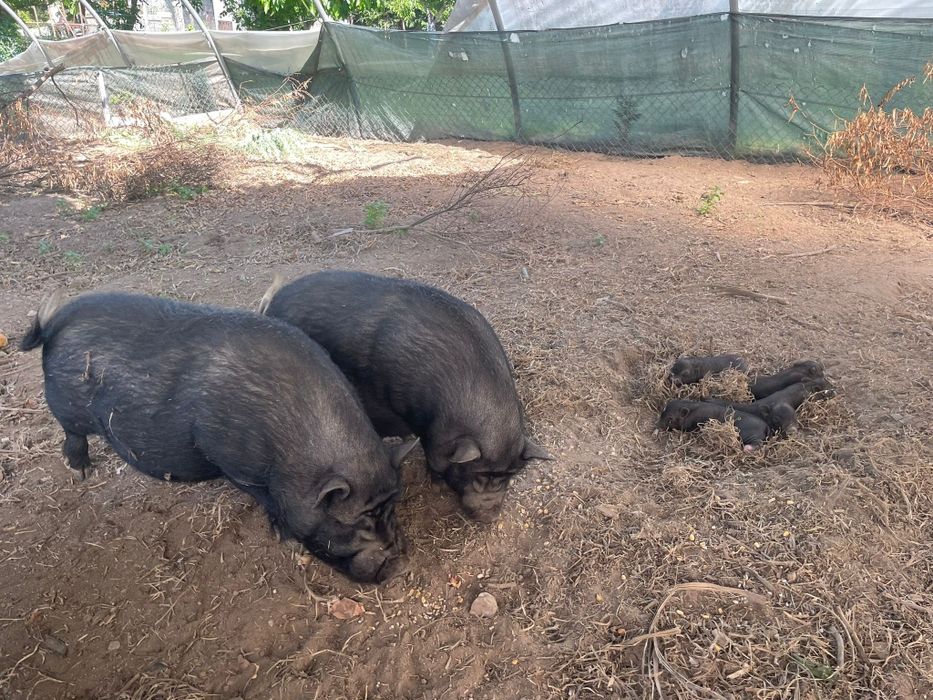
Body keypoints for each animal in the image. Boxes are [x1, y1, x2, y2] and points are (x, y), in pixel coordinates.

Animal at [20, 290, 417, 584]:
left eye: (390, 509)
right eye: (353, 523)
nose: (397, 562)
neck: (289, 454)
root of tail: (55, 323)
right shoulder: (233, 463)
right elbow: (266, 500)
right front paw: (287, 540)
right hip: (68, 408)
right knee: (73, 434)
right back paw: (81, 472)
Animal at [259, 270, 553, 523]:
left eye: (508, 476)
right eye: (476, 475)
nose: (489, 516)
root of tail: (274, 303)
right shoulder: (434, 435)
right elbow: (433, 460)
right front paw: (436, 486)